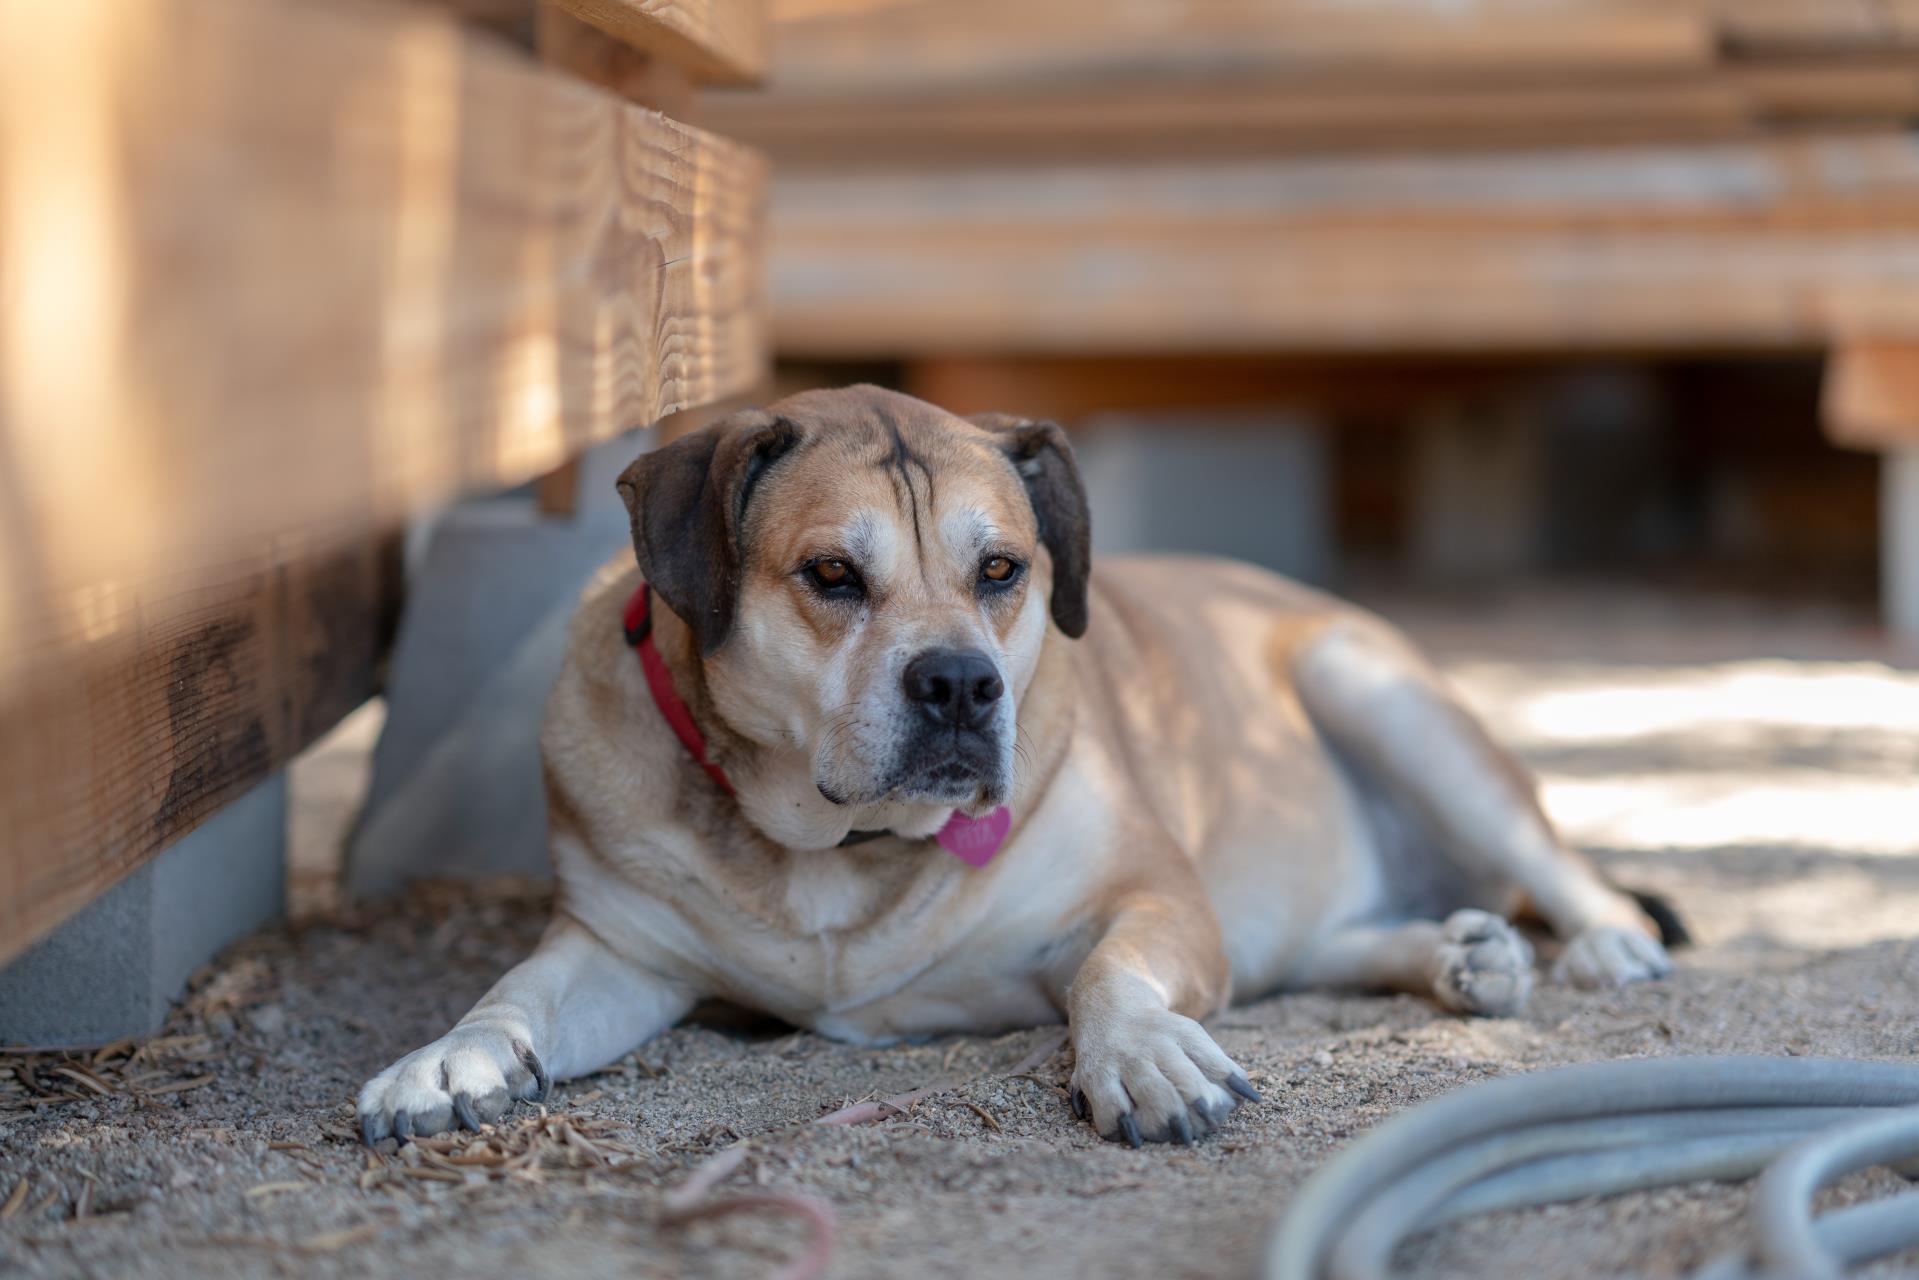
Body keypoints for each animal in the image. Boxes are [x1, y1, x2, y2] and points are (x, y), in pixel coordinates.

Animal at [353, 385, 1673, 1143]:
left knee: (1555, 864)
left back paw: (1601, 943)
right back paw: (1454, 952)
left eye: (1001, 570)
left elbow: (1108, 974)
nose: (958, 683)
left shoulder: (1155, 897)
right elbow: (515, 991)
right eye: (831, 574)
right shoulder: (617, 950)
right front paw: (447, 1055)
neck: (833, 850)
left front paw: (1142, 1056)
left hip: (1375, 688)